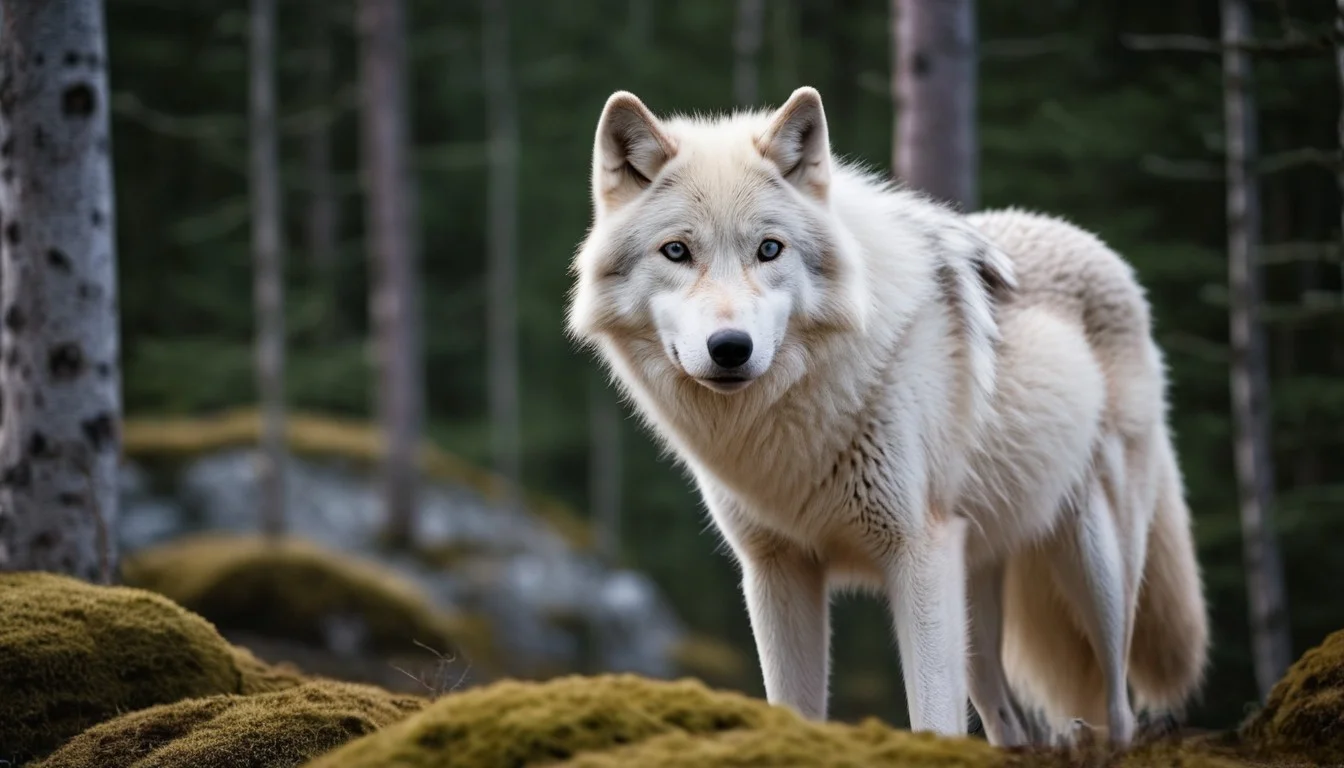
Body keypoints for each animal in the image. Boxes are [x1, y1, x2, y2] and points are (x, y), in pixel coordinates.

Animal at [565, 86, 1209, 747]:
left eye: (769, 249)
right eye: (677, 251)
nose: (731, 348)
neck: (789, 427)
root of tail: (1096, 245)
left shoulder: (916, 554)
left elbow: (933, 720)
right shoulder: (777, 570)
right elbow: (794, 710)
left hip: (1094, 566)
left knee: (1120, 706)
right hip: (975, 605)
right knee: (1008, 724)